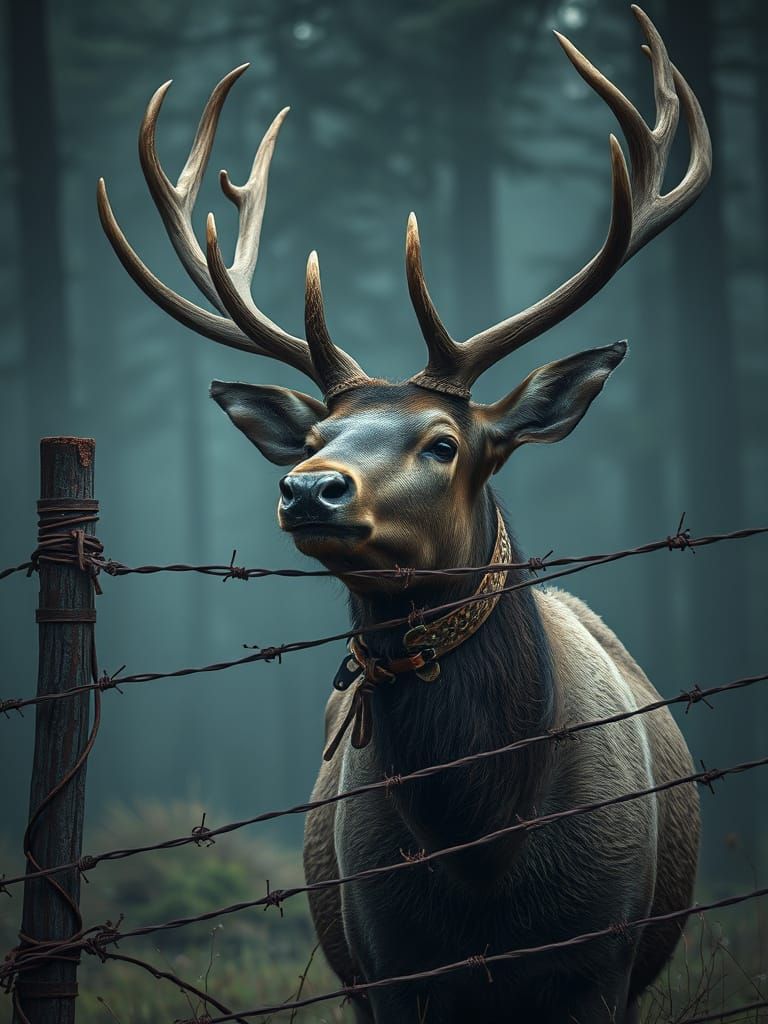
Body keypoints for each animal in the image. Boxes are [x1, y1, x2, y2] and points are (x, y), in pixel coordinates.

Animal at [97, 6, 710, 1022]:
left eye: (444, 442)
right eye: (317, 436)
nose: (310, 488)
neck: (485, 854)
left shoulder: (601, 958)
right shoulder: (388, 962)